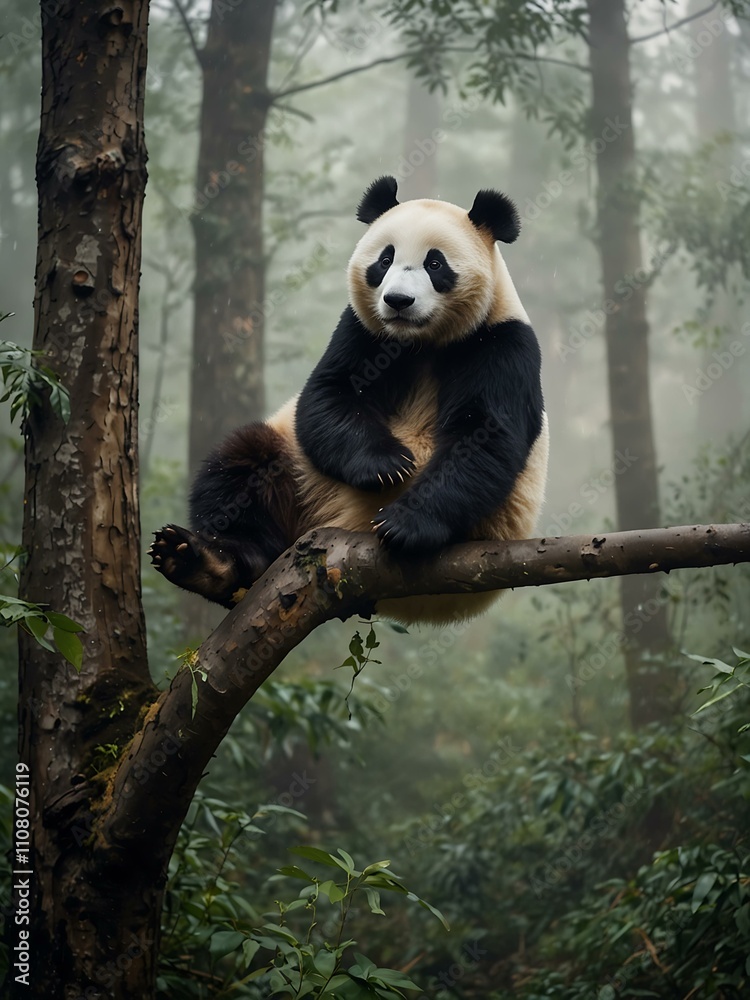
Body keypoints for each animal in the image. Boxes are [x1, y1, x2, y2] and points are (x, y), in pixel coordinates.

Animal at [151, 176, 548, 625]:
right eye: (385, 260)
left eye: (435, 264)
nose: (398, 301)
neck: (421, 342)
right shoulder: (361, 330)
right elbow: (328, 395)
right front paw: (387, 466)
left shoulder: (502, 344)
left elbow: (483, 436)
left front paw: (403, 524)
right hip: (296, 470)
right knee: (239, 465)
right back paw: (205, 561)